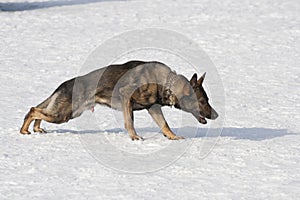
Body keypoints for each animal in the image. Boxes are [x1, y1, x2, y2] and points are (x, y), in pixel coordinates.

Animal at [19, 60, 218, 140]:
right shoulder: (126, 96)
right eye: (203, 101)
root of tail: (63, 86)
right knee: (33, 110)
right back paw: (24, 131)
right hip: (64, 114)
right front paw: (134, 137)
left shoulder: (153, 108)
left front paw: (173, 137)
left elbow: (165, 125)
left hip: (66, 113)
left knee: (38, 111)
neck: (165, 83)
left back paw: (36, 128)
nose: (216, 115)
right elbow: (129, 122)